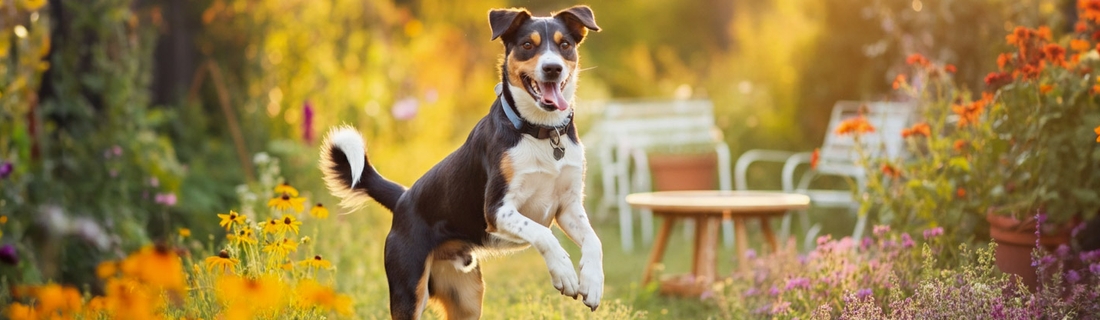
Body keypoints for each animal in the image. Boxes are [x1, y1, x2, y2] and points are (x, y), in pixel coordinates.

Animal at [321, 5, 602, 320]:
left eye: (564, 45)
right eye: (528, 45)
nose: (552, 68)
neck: (542, 132)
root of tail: (403, 198)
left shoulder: (568, 207)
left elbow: (594, 240)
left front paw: (592, 282)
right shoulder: (497, 209)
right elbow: (543, 234)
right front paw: (564, 271)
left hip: (466, 298)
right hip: (409, 289)